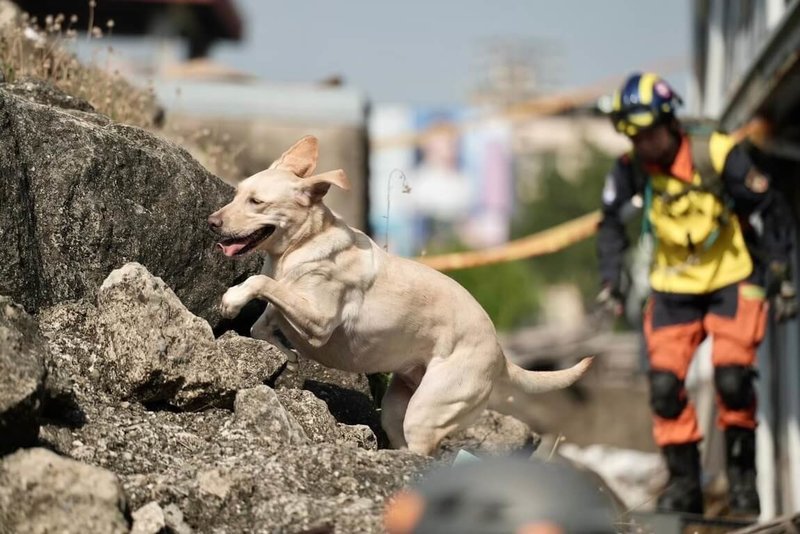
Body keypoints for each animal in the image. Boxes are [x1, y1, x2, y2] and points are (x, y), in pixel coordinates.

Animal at [209, 137, 592, 456]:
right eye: (237, 193)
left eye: (257, 202)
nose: (212, 222)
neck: (303, 245)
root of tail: (500, 354)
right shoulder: (289, 304)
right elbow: (262, 324)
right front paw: (286, 358)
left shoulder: (320, 321)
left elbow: (260, 282)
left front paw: (233, 299)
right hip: (396, 412)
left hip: (427, 412)